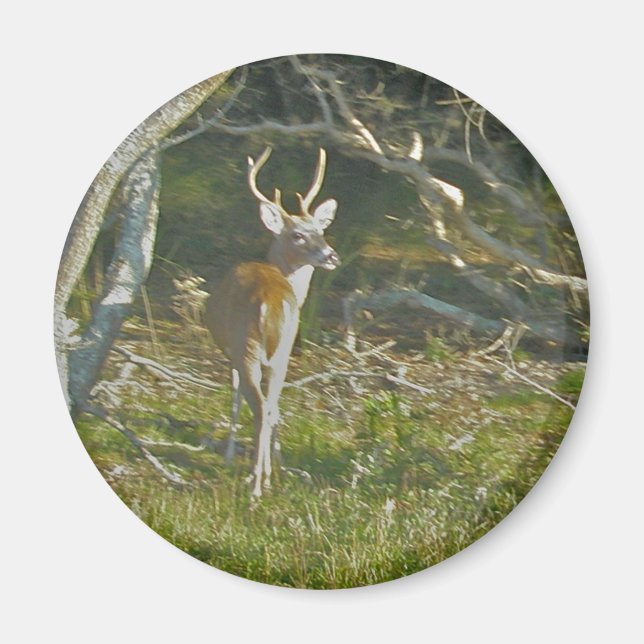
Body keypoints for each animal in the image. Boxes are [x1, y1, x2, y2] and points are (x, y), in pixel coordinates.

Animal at [205, 147, 340, 497]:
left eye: (322, 230)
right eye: (298, 234)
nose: (332, 255)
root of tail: (270, 301)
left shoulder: (231, 353)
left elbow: (235, 397)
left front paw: (230, 455)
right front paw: (276, 462)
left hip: (247, 347)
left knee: (258, 405)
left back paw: (256, 483)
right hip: (283, 351)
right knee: (271, 405)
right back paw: (267, 474)